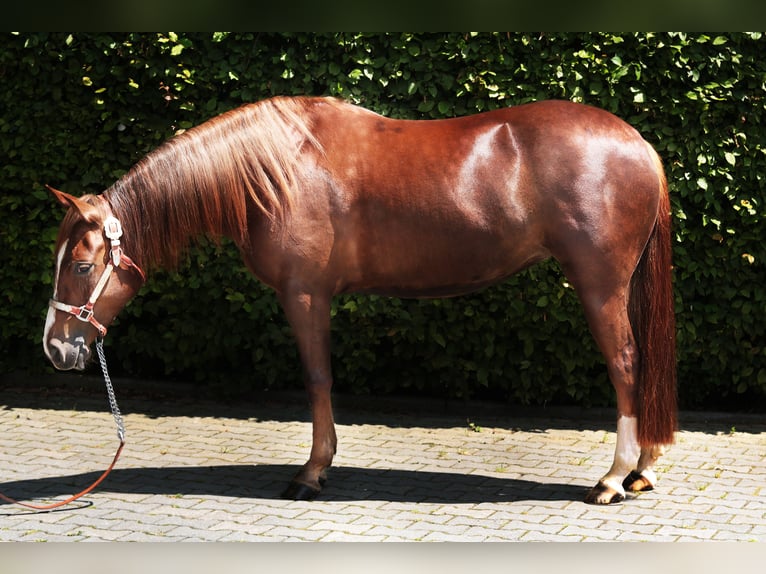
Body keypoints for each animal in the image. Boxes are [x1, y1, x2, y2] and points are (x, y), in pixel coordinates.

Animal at [43, 97, 680, 506]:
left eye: (81, 265)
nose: (55, 348)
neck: (278, 168)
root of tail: (639, 145)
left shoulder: (305, 295)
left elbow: (317, 379)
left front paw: (311, 473)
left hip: (600, 286)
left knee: (626, 366)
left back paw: (612, 479)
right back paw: (642, 471)